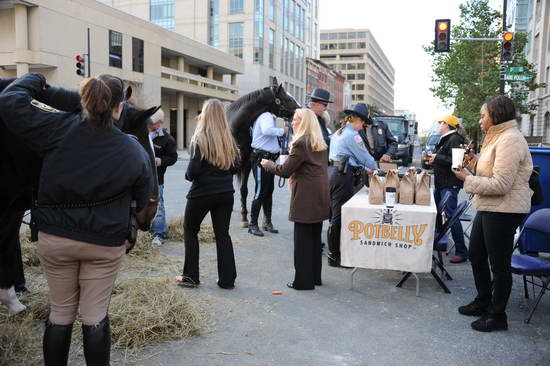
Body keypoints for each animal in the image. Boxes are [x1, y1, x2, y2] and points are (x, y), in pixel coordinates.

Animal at [226, 78, 300, 227]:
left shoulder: (247, 164)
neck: (236, 128)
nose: (301, 109)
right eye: (287, 98)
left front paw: (244, 217)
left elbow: (244, 190)